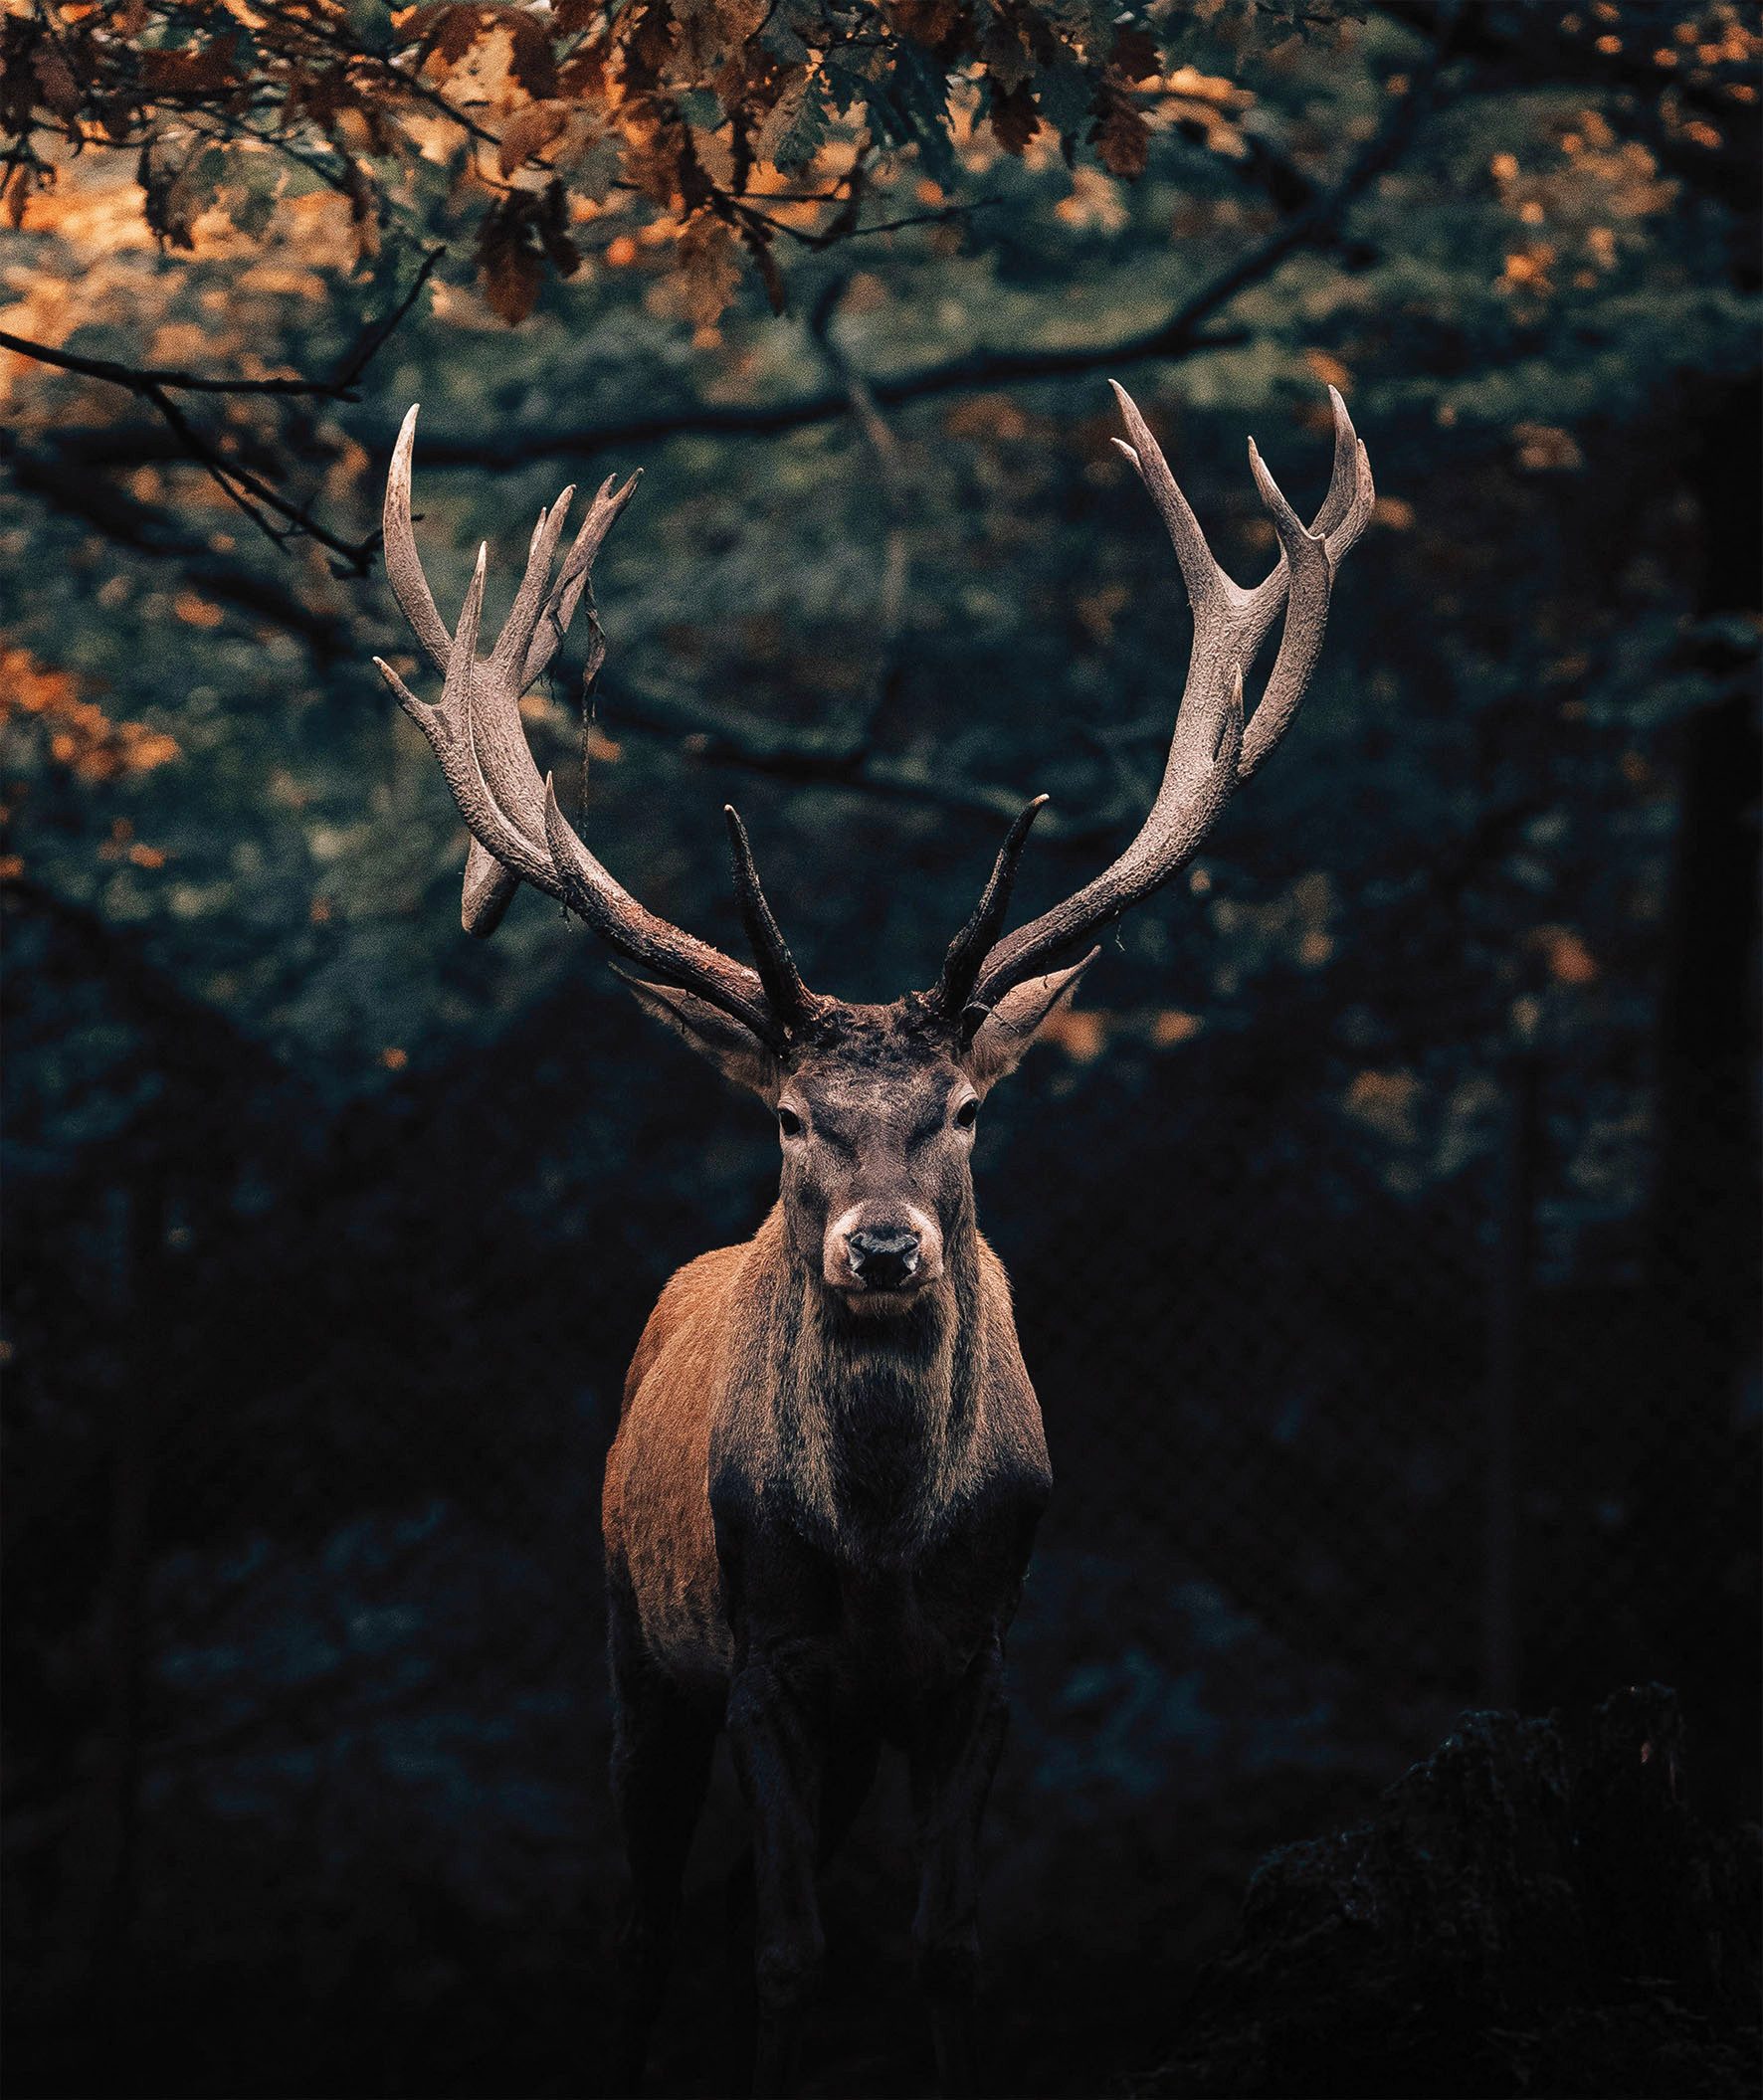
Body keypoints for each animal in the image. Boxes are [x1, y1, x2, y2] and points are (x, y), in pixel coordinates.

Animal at [373, 381, 1372, 2098]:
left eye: (962, 1107)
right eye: (788, 1116)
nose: (886, 1248)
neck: (891, 1540)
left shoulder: (981, 1668)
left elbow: (945, 1944)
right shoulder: (767, 1659)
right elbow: (787, 1953)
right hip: (637, 1640)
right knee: (651, 1922)